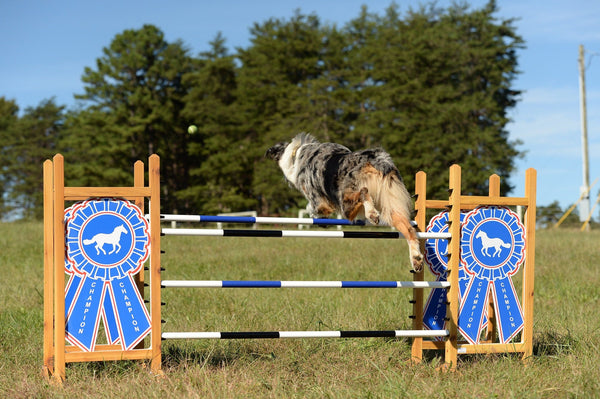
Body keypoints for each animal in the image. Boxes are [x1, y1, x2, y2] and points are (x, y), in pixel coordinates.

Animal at [264, 134, 424, 272]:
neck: (297, 153)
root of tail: (377, 159)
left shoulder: (319, 201)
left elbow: (311, 207)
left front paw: (318, 218)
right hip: (392, 206)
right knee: (409, 230)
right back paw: (416, 259)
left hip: (346, 201)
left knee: (363, 192)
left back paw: (372, 214)